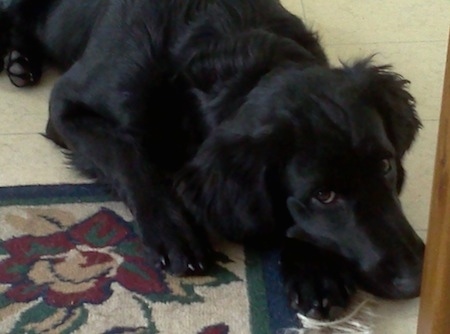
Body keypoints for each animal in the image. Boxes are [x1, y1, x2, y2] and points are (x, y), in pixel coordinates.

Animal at [1, 0, 426, 318]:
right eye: (324, 195)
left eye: (386, 165)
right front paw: (173, 230)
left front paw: (314, 267)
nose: (417, 279)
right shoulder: (68, 105)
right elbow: (127, 157)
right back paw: (18, 58)